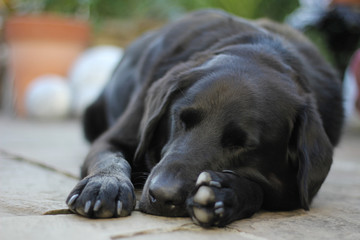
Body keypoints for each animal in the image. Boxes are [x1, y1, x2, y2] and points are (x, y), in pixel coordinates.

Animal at [67, 8, 344, 227]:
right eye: (180, 119)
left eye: (241, 144)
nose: (162, 195)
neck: (264, 47)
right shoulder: (115, 139)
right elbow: (111, 158)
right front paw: (105, 184)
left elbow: (261, 189)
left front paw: (226, 194)